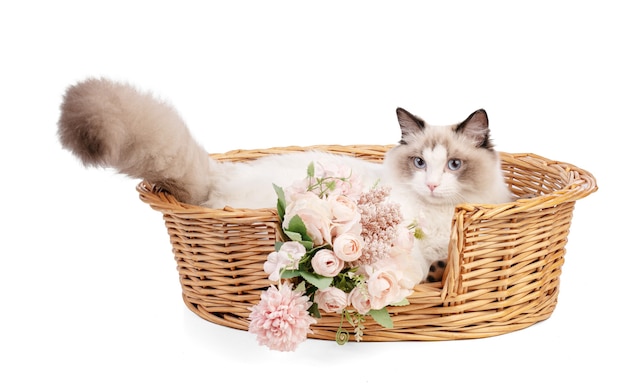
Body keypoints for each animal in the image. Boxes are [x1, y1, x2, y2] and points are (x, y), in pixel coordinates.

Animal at [57, 76, 512, 284]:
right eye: (419, 162)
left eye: (453, 165)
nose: (432, 184)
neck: (439, 216)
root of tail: (221, 174)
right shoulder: (397, 242)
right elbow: (412, 266)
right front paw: (425, 275)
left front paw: (440, 271)